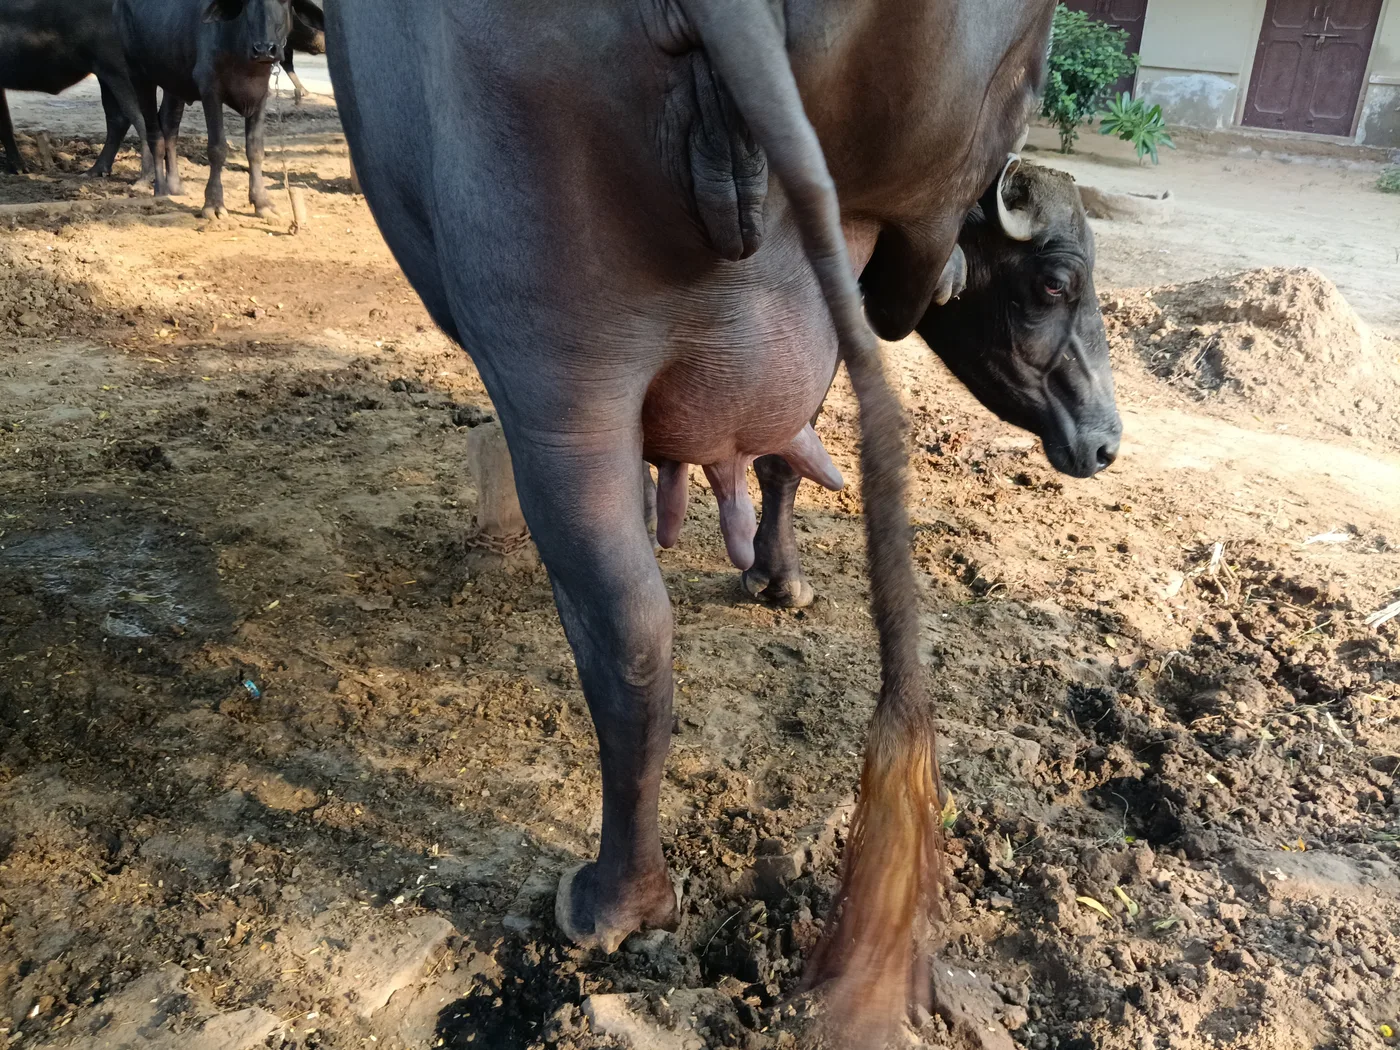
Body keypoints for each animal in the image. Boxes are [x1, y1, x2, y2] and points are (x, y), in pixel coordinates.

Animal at [117, 0, 292, 218]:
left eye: (284, 2)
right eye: (247, 3)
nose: (264, 49)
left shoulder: (260, 96)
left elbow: (255, 149)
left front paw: (262, 203)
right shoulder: (210, 90)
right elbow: (217, 148)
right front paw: (214, 204)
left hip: (173, 84)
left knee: (169, 126)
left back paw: (174, 186)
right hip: (140, 76)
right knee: (154, 134)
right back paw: (161, 189)